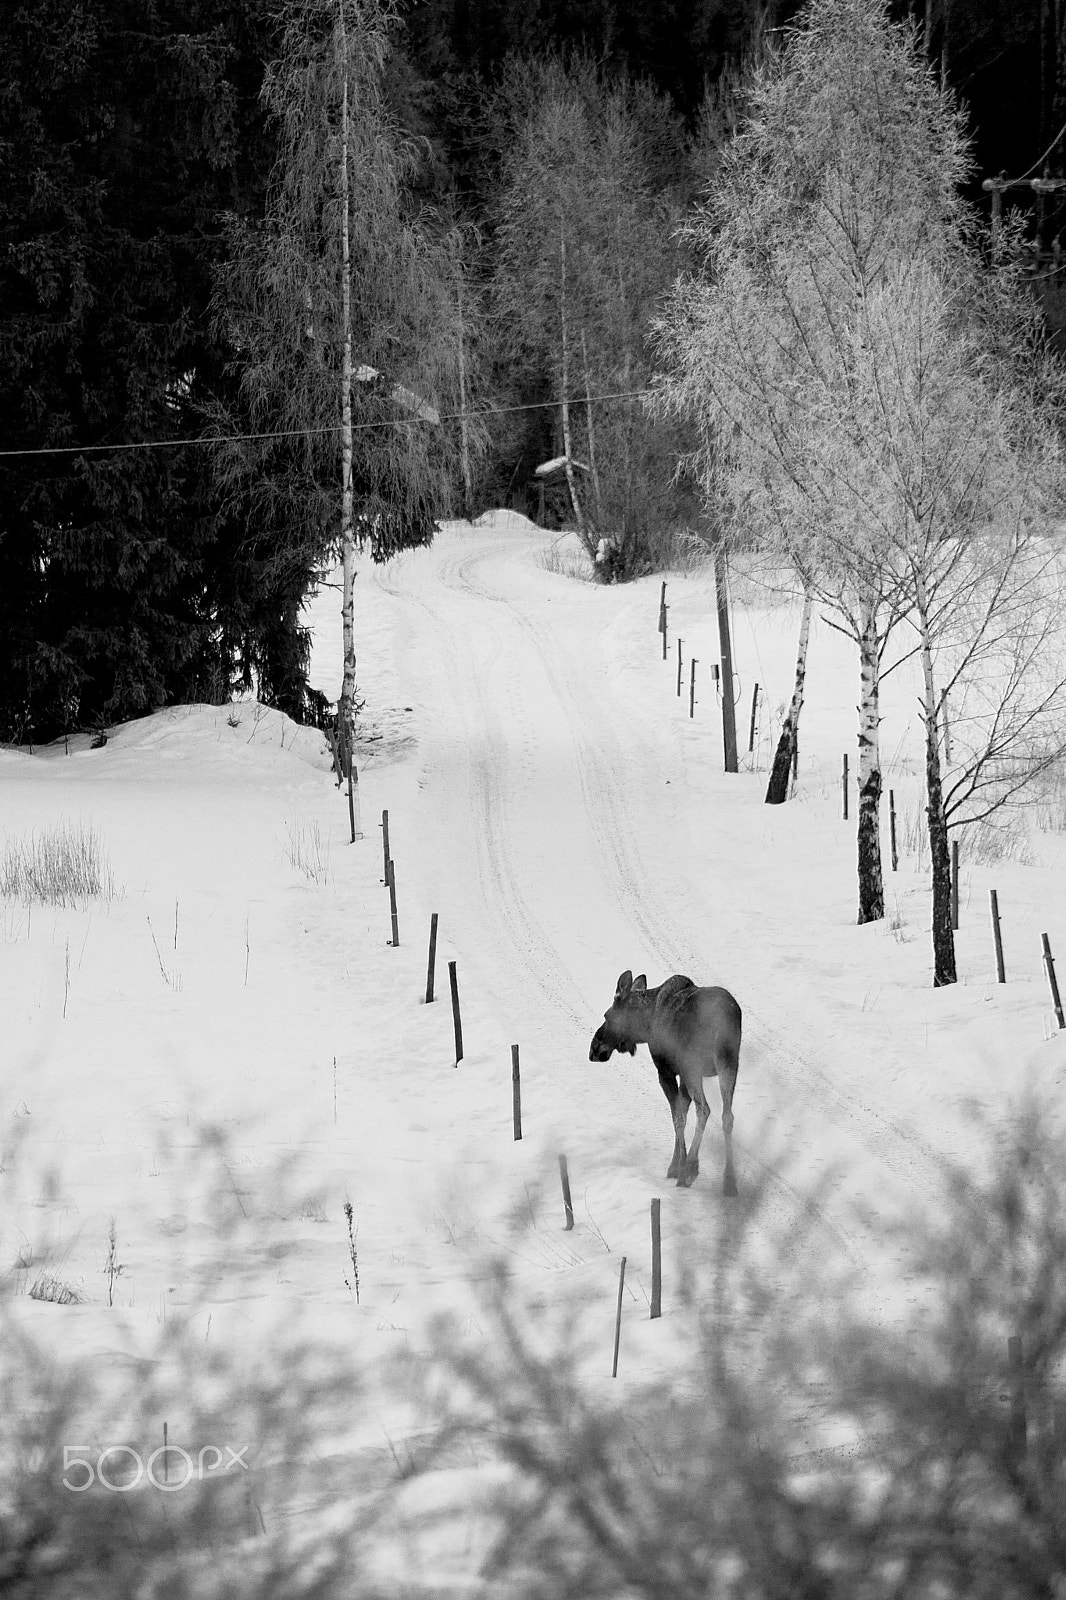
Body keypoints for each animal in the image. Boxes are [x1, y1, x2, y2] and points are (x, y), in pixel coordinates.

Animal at [589, 966, 739, 1196]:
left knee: (704, 1109)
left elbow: (677, 1116)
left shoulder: (666, 1071)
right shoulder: (683, 1076)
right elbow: (682, 1111)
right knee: (727, 1116)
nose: (594, 1049)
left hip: (694, 1064)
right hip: (728, 1063)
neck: (646, 1024)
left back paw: (691, 1169)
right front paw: (677, 1164)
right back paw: (730, 1182)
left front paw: (677, 1168)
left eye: (607, 1015)